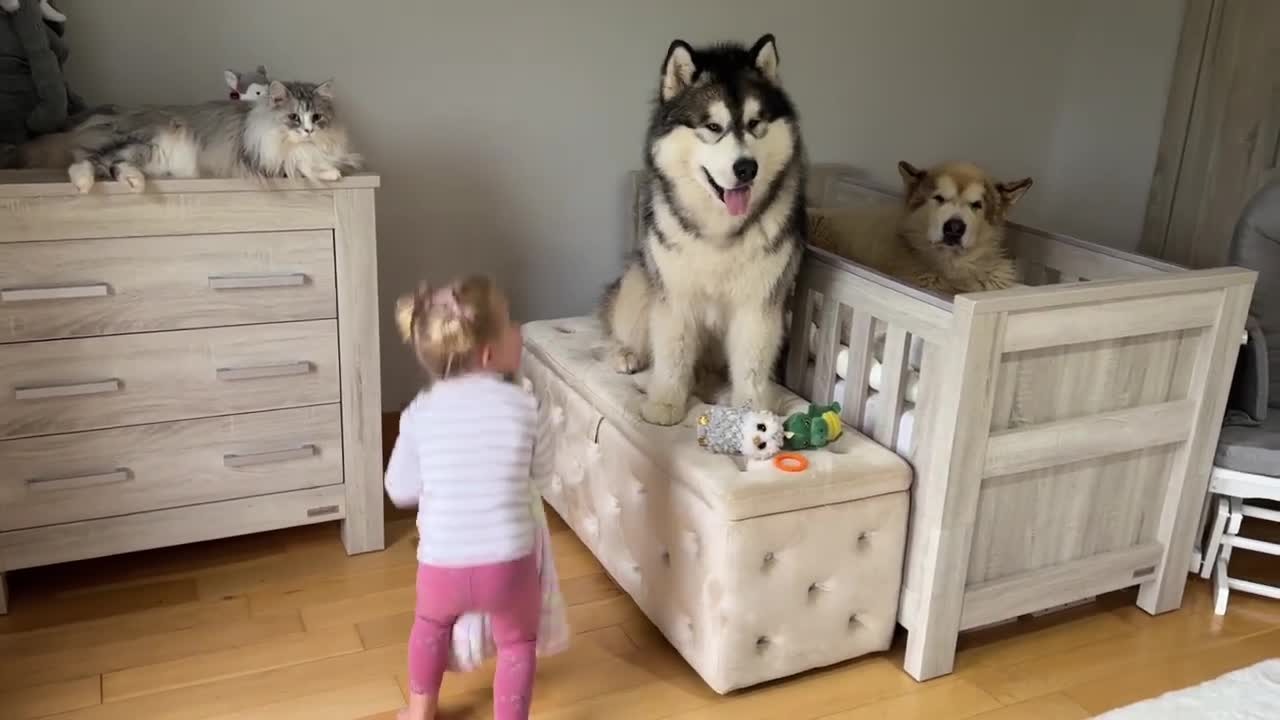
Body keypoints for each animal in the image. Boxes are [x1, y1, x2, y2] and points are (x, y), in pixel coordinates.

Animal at [596, 33, 798, 422]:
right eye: (713, 127)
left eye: (755, 123)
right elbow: (673, 351)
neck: (720, 229)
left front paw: (751, 412)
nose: (746, 168)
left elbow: (751, 364)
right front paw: (665, 403)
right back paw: (625, 353)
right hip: (639, 279)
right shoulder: (675, 294)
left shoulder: (758, 303)